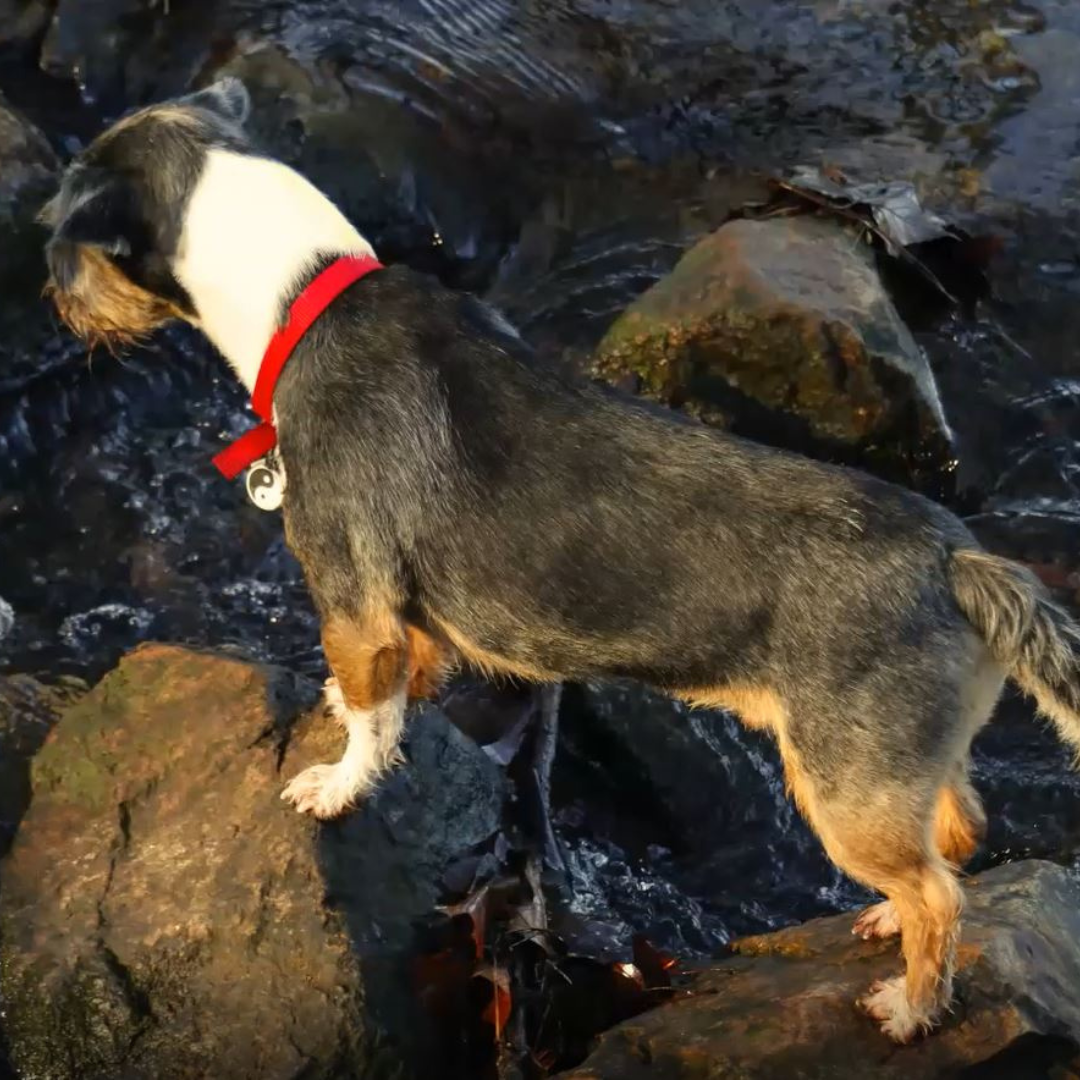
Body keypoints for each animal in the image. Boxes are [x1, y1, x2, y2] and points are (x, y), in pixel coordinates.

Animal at [39, 78, 1080, 1045]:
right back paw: (885, 925)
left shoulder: (351, 593)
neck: (305, 292)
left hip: (841, 781)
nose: (55, 303)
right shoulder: (399, 613)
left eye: (65, 252)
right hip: (903, 761)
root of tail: (958, 562)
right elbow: (407, 680)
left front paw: (335, 785)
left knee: (940, 893)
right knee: (956, 835)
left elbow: (373, 724)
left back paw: (909, 1007)